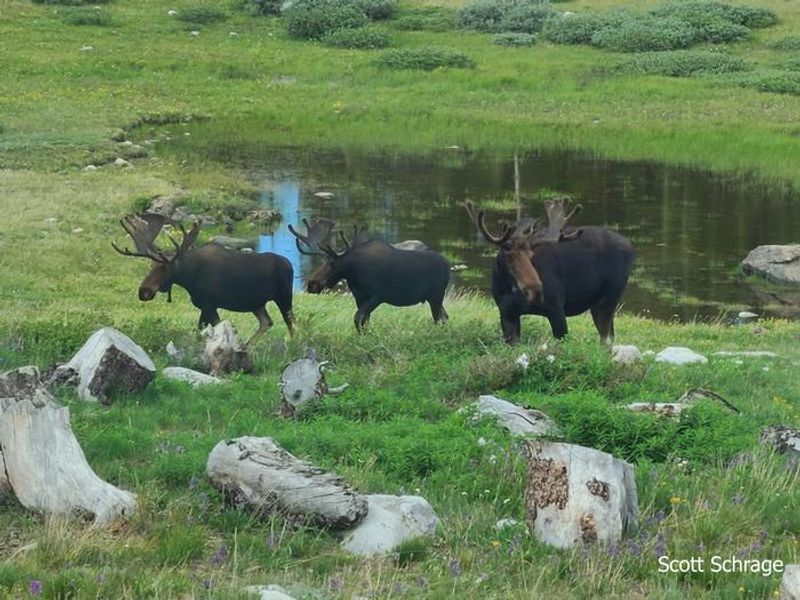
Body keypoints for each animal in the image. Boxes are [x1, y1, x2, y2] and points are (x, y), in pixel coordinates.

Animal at [112, 213, 294, 342]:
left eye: (165, 267)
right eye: (151, 266)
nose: (143, 291)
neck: (190, 279)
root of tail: (290, 265)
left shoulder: (209, 304)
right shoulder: (206, 306)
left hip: (284, 296)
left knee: (291, 324)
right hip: (256, 303)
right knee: (267, 322)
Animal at [288, 219, 450, 332]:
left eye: (332, 264)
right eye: (322, 263)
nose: (311, 284)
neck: (354, 274)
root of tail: (447, 265)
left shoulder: (378, 296)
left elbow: (358, 317)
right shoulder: (359, 296)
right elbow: (364, 320)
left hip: (436, 295)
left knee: (440, 318)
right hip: (433, 297)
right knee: (445, 317)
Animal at [465, 199, 634, 345]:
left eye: (531, 254)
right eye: (509, 255)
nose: (536, 291)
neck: (509, 289)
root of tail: (631, 247)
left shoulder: (556, 310)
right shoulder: (506, 313)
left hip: (610, 297)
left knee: (606, 339)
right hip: (596, 304)